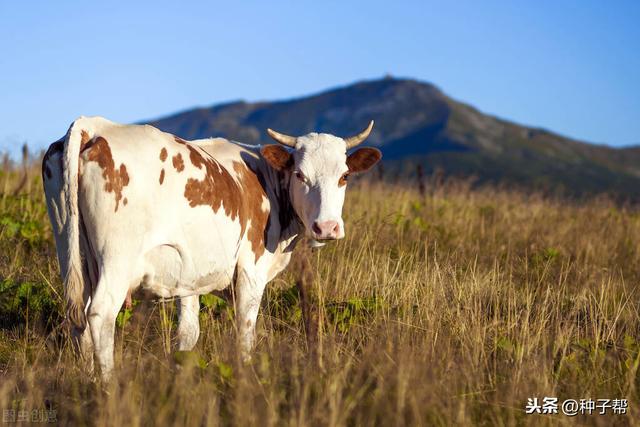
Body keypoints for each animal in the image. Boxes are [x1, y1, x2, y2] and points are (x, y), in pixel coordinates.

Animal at [42, 117, 382, 382]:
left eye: (344, 176)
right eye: (300, 174)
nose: (327, 227)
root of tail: (96, 125)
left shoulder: (187, 275)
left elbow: (188, 334)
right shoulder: (251, 272)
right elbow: (245, 334)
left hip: (71, 253)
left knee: (78, 319)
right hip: (117, 259)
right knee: (100, 314)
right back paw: (108, 389)